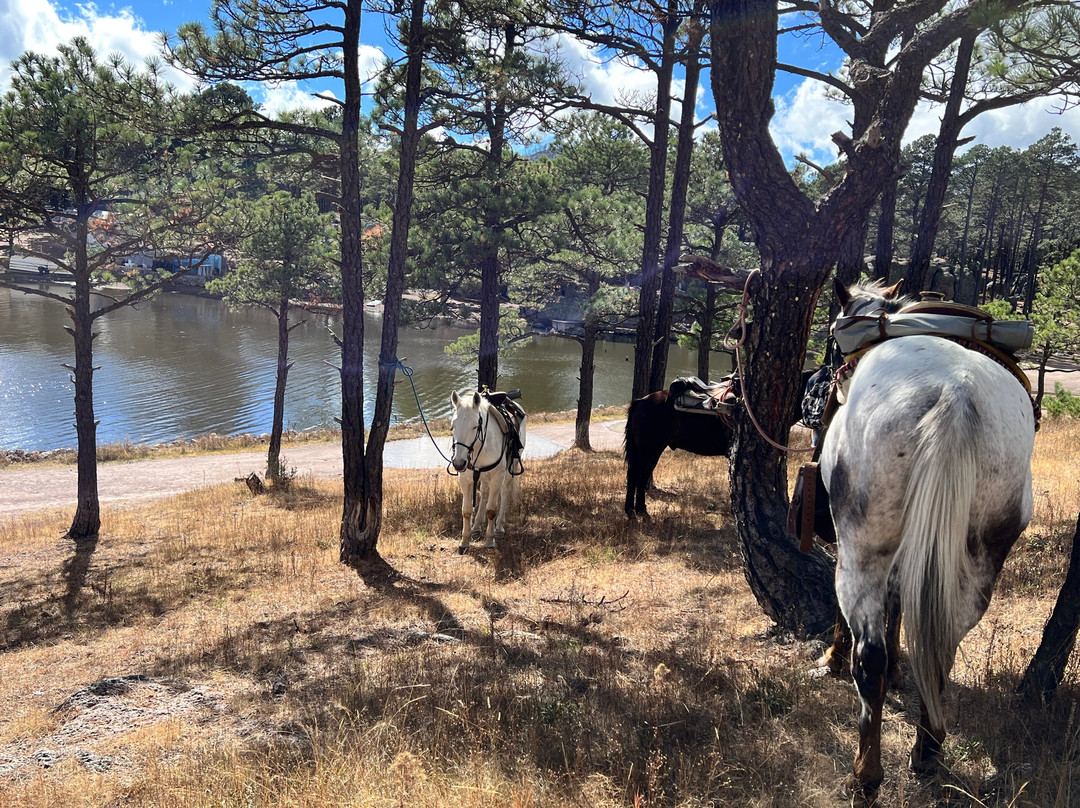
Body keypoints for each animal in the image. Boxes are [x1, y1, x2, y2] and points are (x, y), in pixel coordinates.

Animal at [449, 389, 527, 553]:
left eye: (474, 426)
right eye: (453, 425)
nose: (458, 463)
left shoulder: (497, 476)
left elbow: (491, 509)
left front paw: (489, 541)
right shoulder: (465, 479)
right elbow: (466, 510)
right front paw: (464, 541)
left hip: (510, 468)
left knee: (504, 492)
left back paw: (499, 527)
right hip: (483, 476)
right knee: (484, 493)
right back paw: (477, 526)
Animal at [624, 378, 734, 518]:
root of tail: (641, 401)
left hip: (654, 451)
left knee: (642, 476)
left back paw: (640, 510)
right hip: (646, 450)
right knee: (635, 475)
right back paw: (631, 511)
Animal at [819, 278, 1036, 795]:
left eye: (834, 335)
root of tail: (956, 395)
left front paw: (833, 657)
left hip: (863, 551)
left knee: (869, 658)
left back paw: (866, 774)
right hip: (977, 562)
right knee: (943, 648)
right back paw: (927, 750)